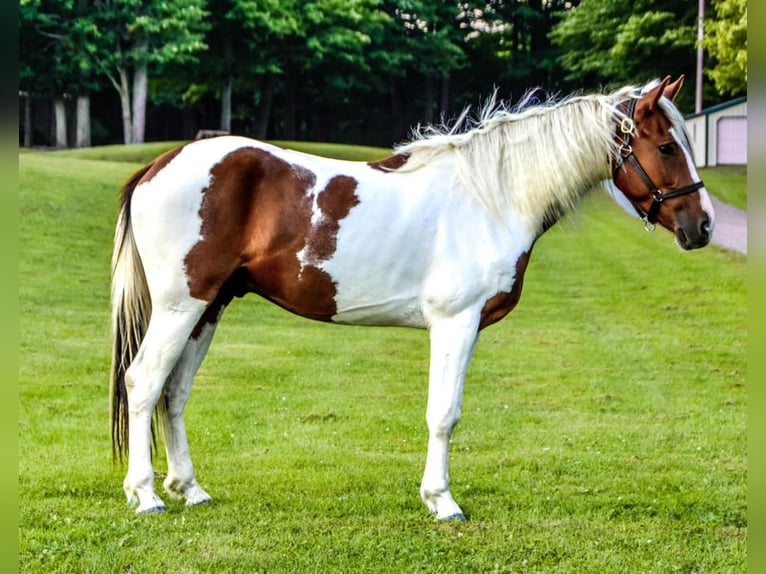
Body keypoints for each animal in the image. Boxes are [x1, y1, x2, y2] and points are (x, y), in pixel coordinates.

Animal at [111, 76, 716, 520]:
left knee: (174, 392)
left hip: (208, 308)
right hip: (180, 307)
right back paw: (146, 495)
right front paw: (442, 502)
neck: (490, 198)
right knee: (143, 383)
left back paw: (189, 488)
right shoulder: (456, 322)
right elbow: (443, 414)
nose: (703, 226)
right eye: (666, 146)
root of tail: (158, 165)